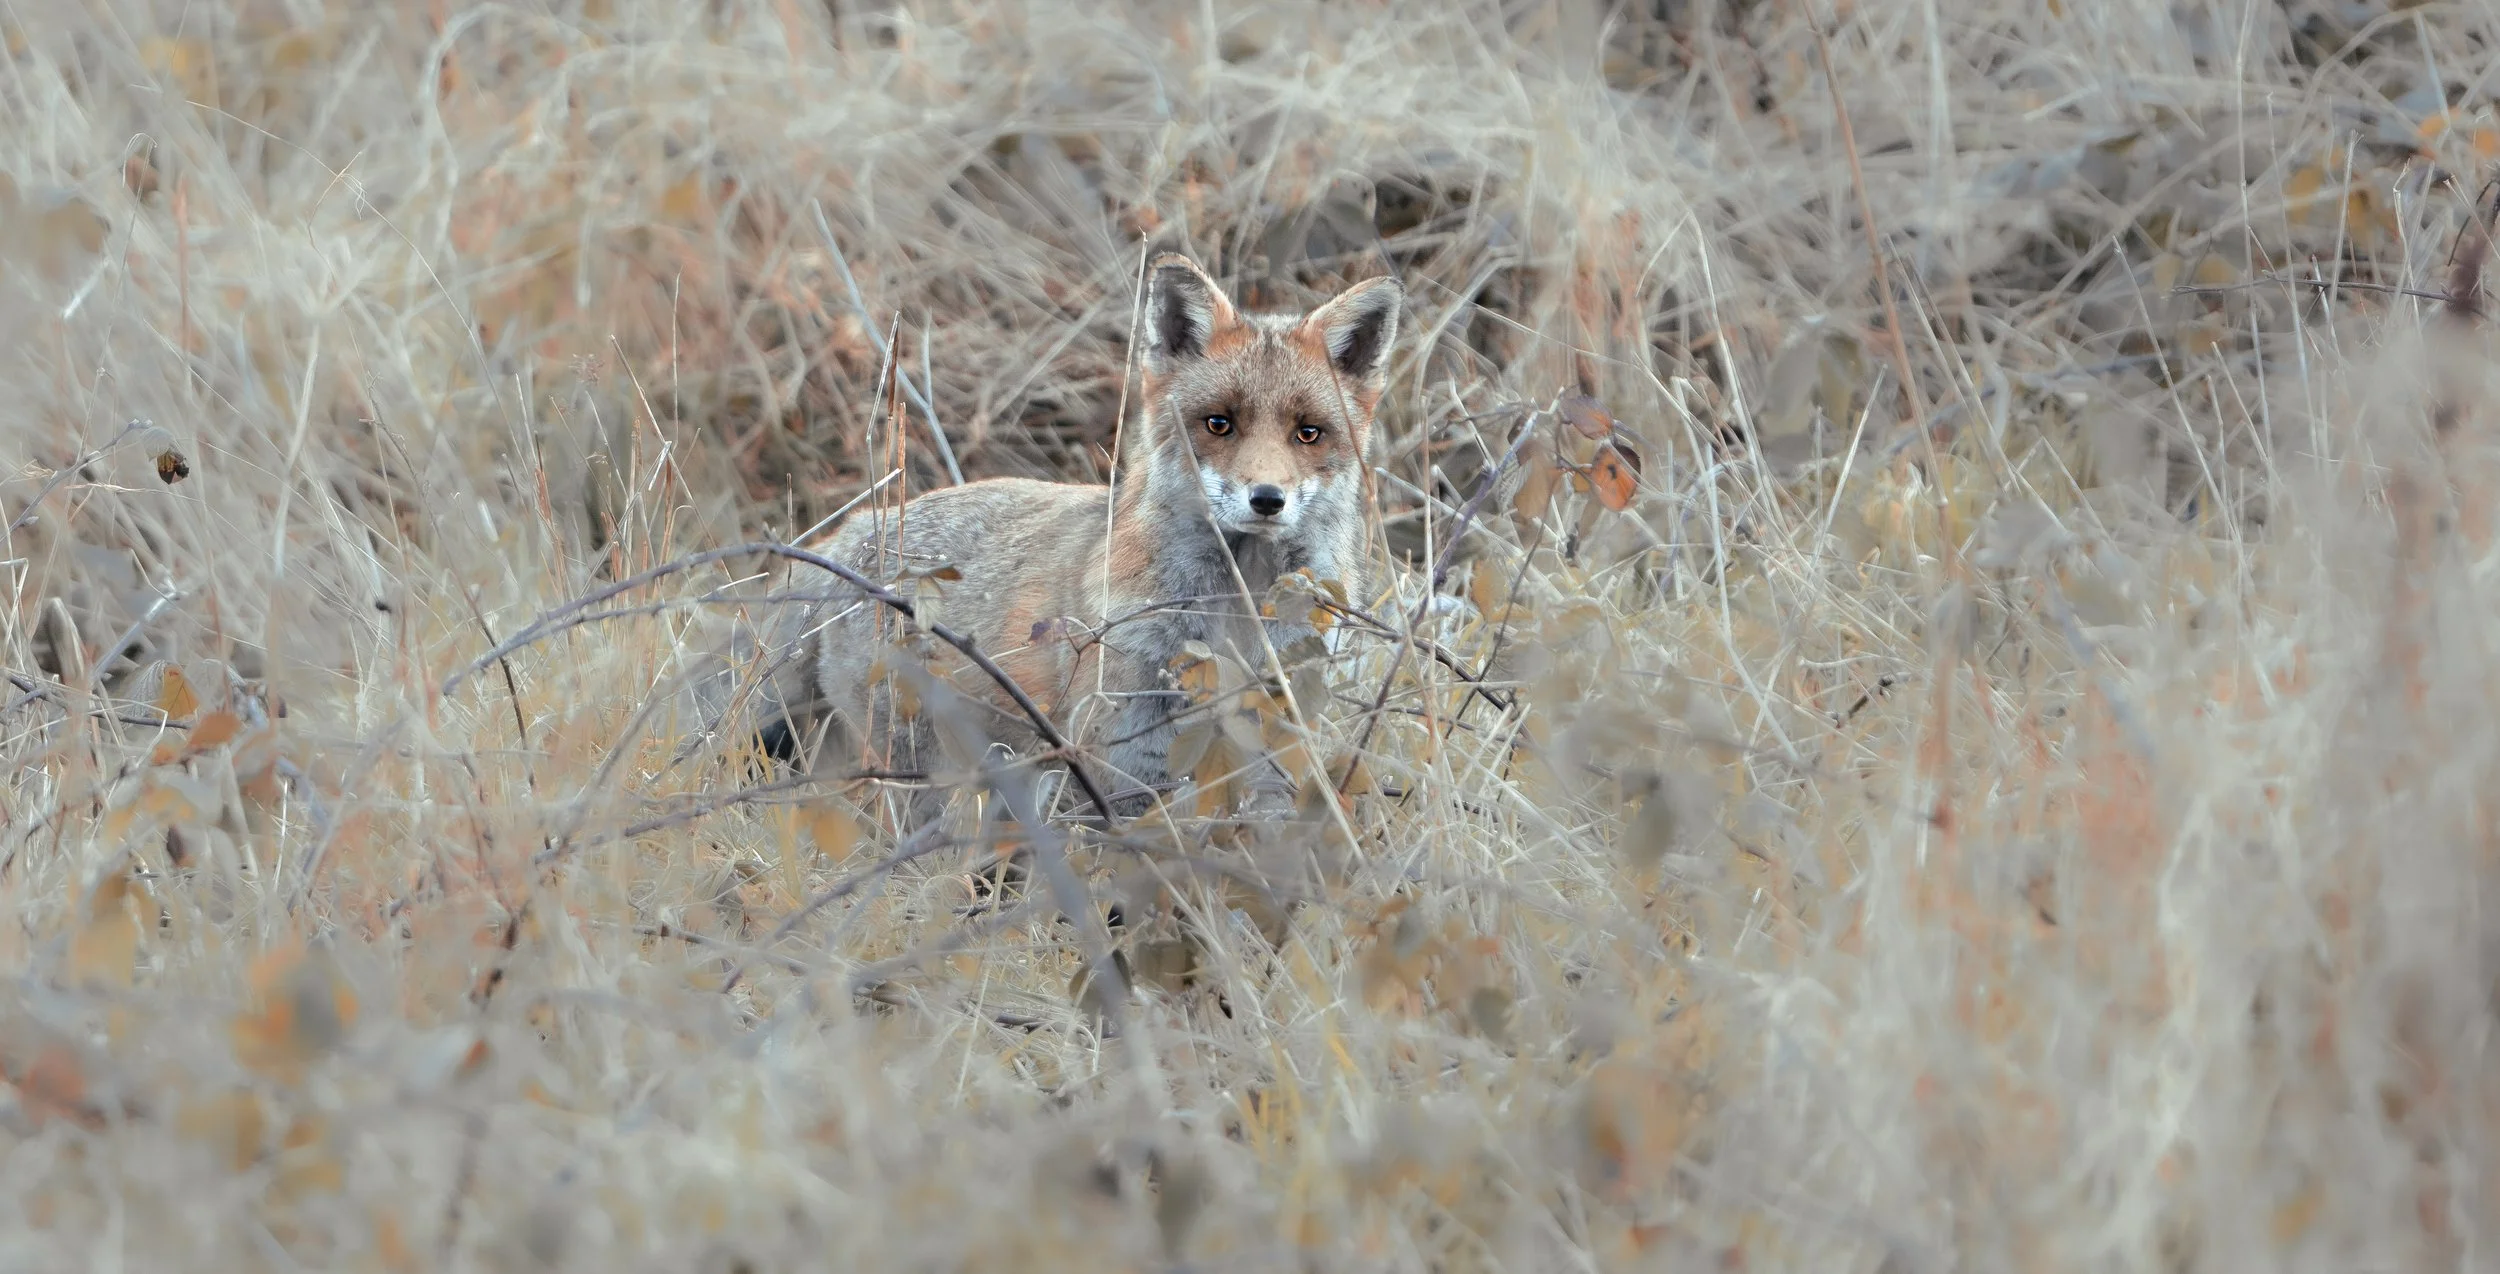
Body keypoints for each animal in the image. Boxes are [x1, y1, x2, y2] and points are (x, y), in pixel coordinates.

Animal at [701, 254, 1401, 823]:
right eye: (1218, 424)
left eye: (1308, 433)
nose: (1267, 499)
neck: (1237, 611)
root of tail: (847, 537)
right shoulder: (1124, 743)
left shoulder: (1277, 725)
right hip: (923, 767)